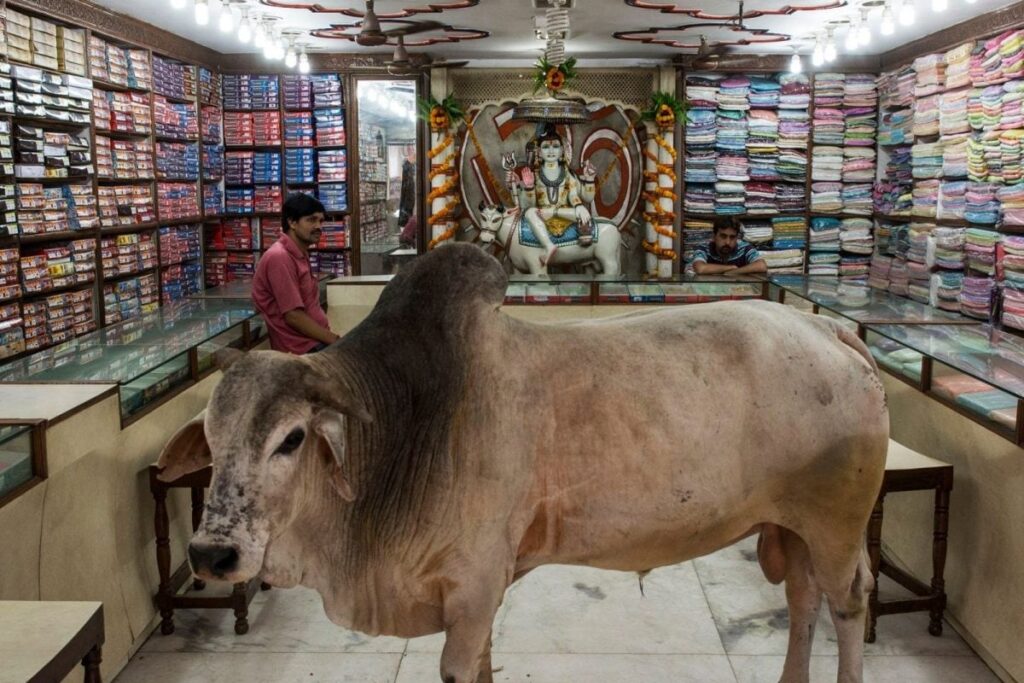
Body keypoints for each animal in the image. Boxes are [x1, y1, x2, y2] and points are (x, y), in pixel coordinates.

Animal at [157, 244, 888, 683]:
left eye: (292, 438)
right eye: (212, 438)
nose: (213, 552)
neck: (399, 423)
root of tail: (830, 329)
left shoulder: (473, 587)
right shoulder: (478, 598)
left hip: (837, 525)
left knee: (848, 601)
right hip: (794, 526)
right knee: (802, 598)